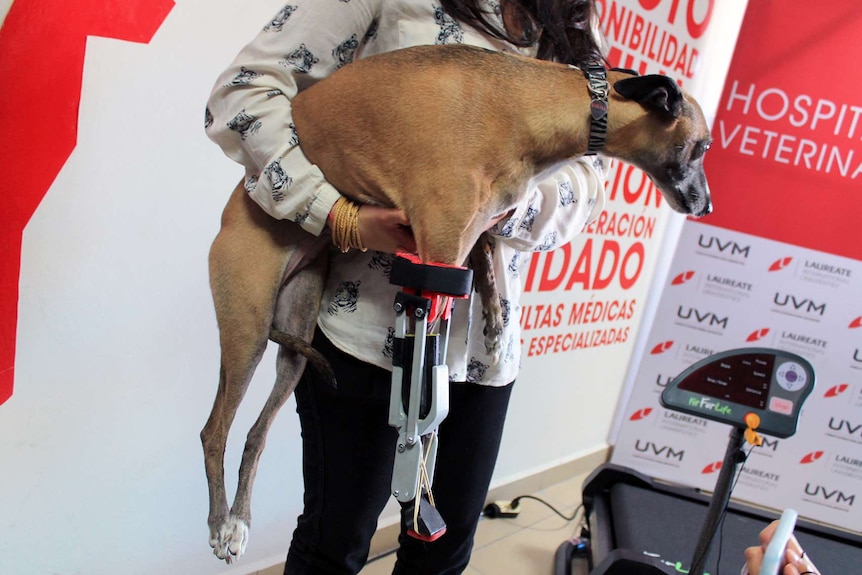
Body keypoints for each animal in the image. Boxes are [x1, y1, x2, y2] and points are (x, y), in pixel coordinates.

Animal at [202, 44, 716, 564]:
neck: (529, 108)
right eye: (703, 146)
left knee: (256, 434)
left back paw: (239, 523)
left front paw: (493, 319)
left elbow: (485, 259)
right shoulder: (437, 252)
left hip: (295, 341)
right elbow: (421, 378)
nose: (707, 207)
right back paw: (220, 524)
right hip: (247, 331)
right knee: (214, 431)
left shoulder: (474, 232)